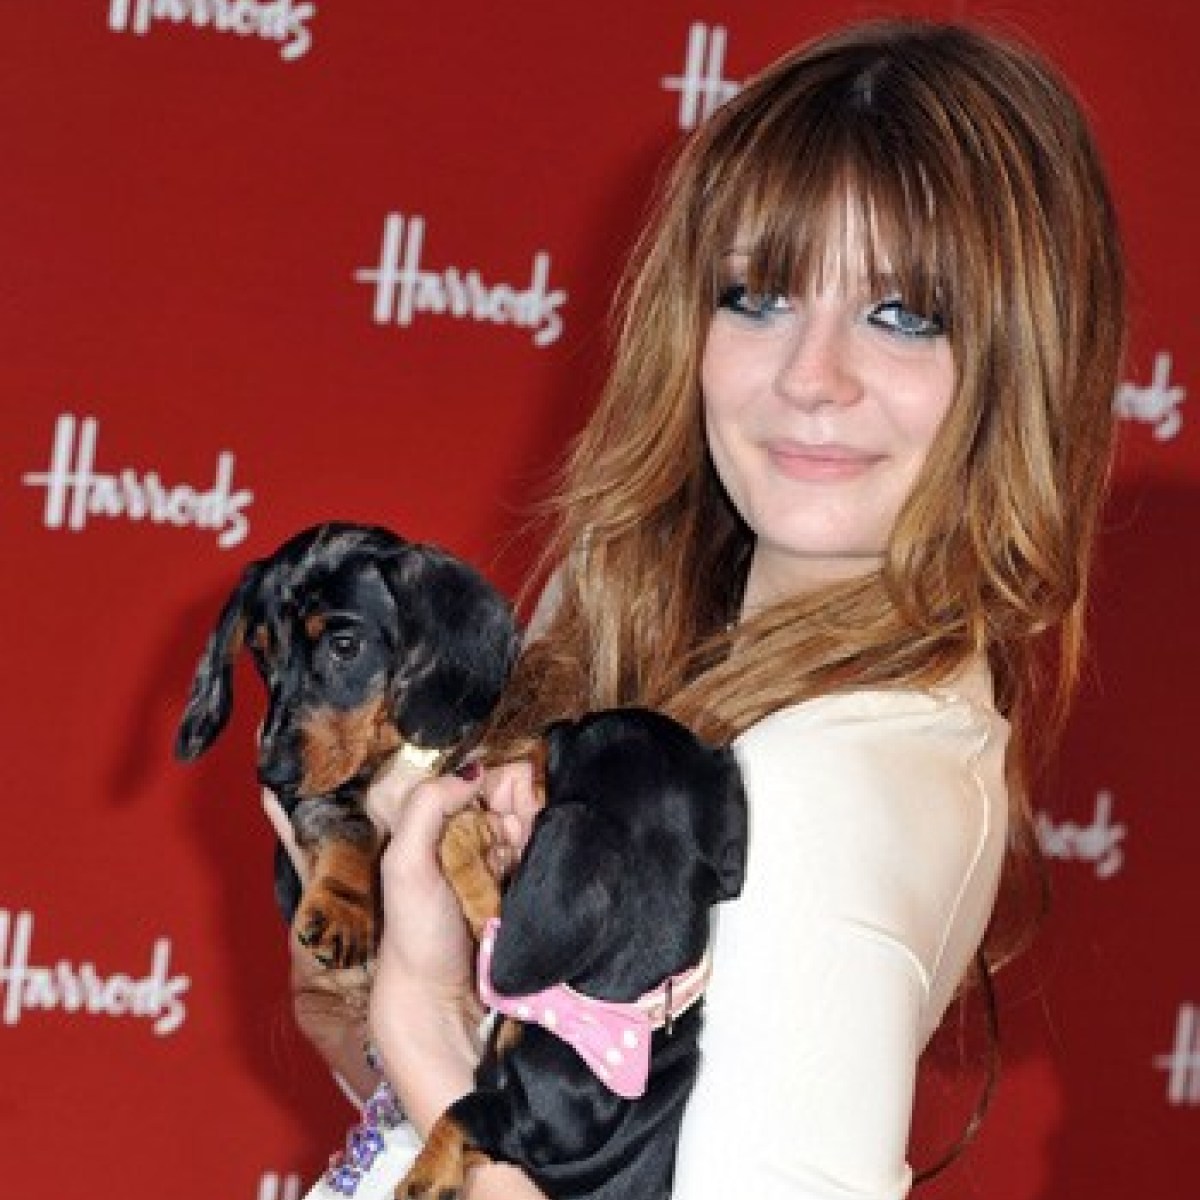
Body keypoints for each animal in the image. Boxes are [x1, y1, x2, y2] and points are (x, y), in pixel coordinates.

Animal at [175, 520, 518, 969]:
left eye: (344, 645)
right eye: (262, 653)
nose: (272, 775)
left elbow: (459, 823)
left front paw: (484, 900)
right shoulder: (315, 795)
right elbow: (347, 824)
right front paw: (344, 905)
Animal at [398, 705, 744, 1200]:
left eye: (572, 735)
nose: (549, 726)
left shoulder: (542, 1131)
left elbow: (465, 1109)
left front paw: (424, 1177)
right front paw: (474, 831)